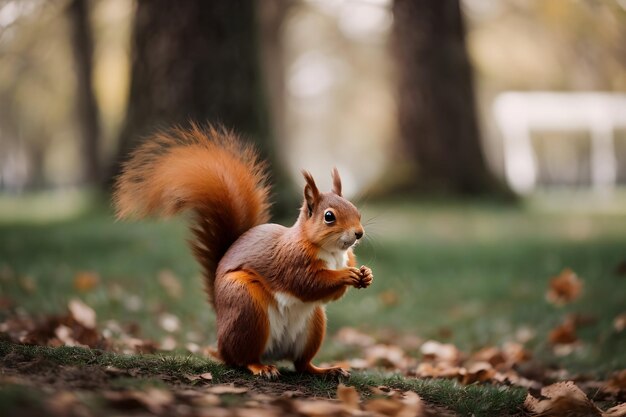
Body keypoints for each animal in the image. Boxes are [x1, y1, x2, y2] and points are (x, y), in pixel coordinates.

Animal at [113, 123, 370, 376]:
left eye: (356, 210)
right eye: (329, 217)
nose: (359, 233)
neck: (332, 252)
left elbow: (331, 293)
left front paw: (365, 275)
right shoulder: (292, 260)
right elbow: (307, 283)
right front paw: (345, 276)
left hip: (313, 324)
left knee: (301, 364)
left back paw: (324, 370)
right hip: (246, 307)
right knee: (241, 358)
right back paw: (261, 367)